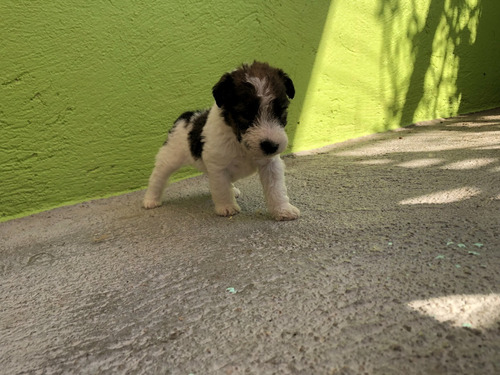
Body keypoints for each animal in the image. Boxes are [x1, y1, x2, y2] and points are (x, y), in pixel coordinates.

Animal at [144, 60, 300, 222]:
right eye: (245, 113)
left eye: (280, 111)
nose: (271, 146)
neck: (239, 143)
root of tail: (185, 117)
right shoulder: (218, 168)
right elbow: (222, 188)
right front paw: (227, 206)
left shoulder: (270, 165)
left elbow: (276, 189)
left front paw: (283, 209)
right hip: (169, 159)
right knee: (157, 177)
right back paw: (150, 200)